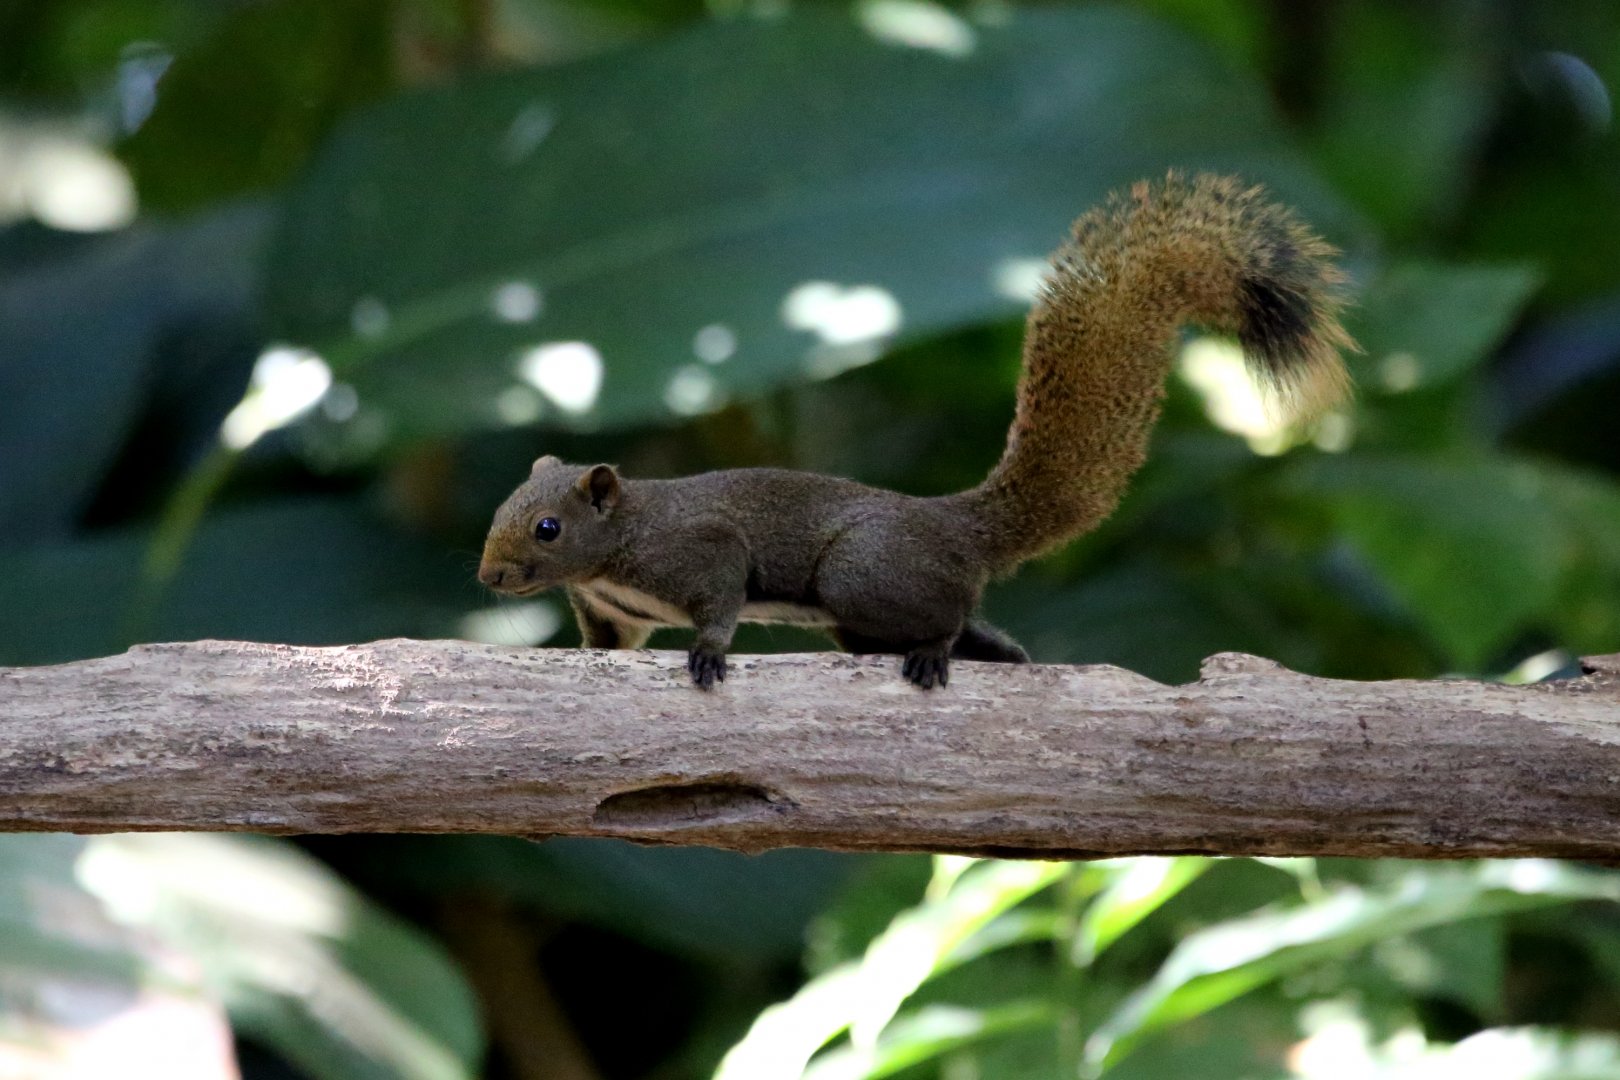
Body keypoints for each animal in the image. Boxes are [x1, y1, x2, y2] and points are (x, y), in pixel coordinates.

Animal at [478, 173, 1353, 689]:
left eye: (548, 527)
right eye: (500, 511)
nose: (488, 578)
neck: (617, 546)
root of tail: (955, 525)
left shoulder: (700, 550)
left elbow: (720, 601)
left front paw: (709, 652)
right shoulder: (612, 610)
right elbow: (607, 645)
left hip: (861, 575)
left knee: (947, 615)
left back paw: (937, 652)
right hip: (857, 616)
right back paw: (1000, 653)